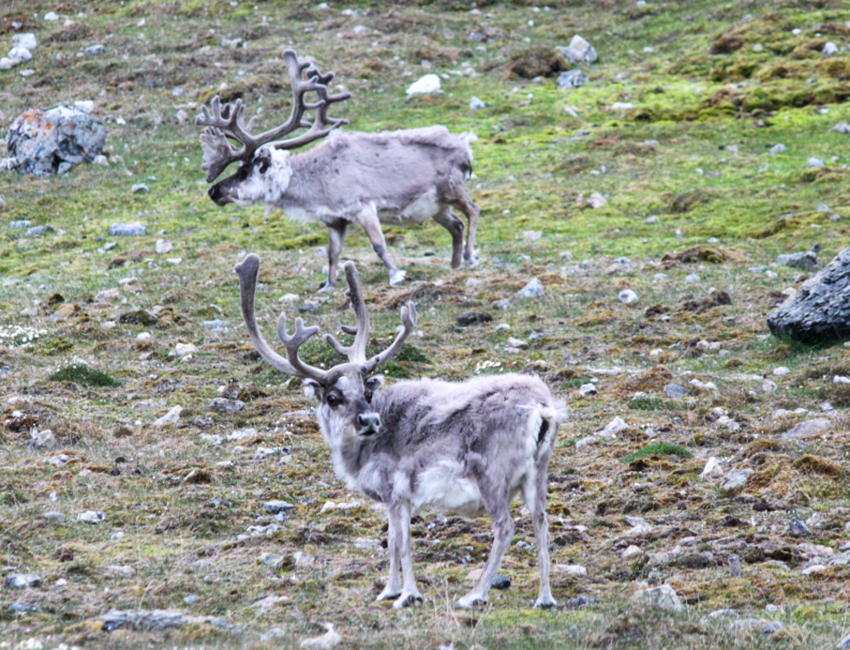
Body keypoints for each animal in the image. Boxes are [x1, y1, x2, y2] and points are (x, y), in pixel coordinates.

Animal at [198, 50, 480, 289]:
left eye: (243, 172)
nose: (213, 191)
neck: (315, 188)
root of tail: (465, 148)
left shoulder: (363, 206)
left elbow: (379, 245)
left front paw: (396, 275)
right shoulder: (334, 220)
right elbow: (332, 254)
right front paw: (328, 285)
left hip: (451, 187)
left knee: (473, 210)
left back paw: (469, 256)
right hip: (435, 206)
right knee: (456, 225)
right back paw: (454, 264)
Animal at [234, 252, 565, 610]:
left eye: (366, 392)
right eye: (334, 397)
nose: (369, 420)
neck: (359, 457)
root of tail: (542, 408)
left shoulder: (395, 491)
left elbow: (401, 543)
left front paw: (405, 594)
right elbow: (393, 541)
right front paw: (390, 589)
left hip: (492, 475)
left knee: (505, 527)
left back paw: (474, 594)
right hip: (537, 471)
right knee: (542, 522)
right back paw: (545, 598)